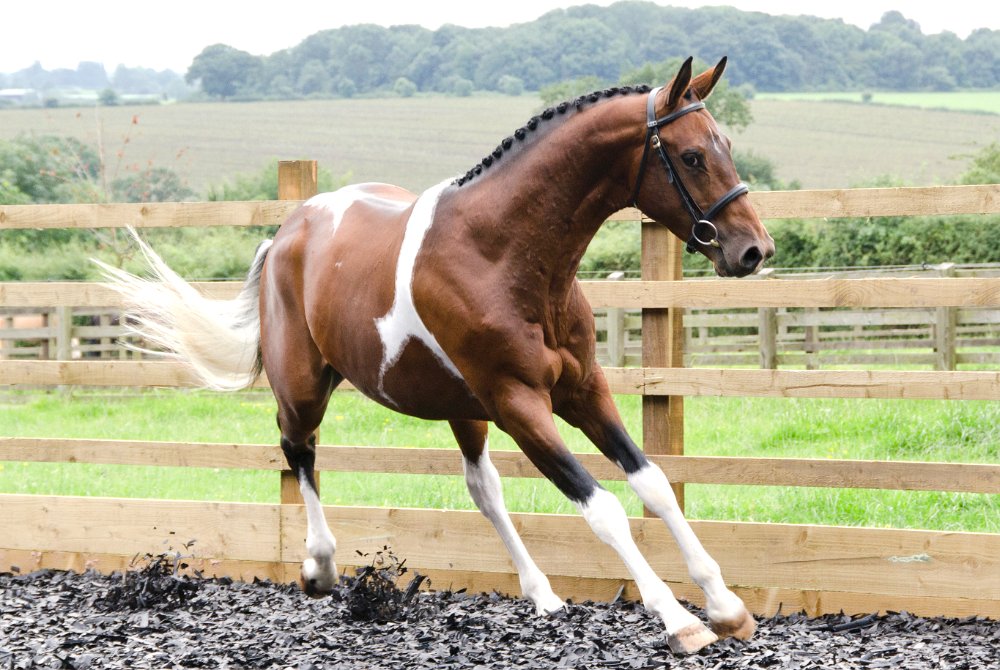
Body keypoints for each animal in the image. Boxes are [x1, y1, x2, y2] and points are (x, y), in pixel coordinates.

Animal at [101, 56, 774, 654]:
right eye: (691, 156)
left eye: (725, 143)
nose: (753, 250)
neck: (500, 253)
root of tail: (288, 230)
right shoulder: (519, 405)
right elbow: (603, 507)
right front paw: (679, 622)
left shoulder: (583, 391)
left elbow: (653, 484)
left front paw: (726, 607)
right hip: (305, 386)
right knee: (299, 450)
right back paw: (319, 568)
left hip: (460, 406)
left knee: (482, 486)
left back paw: (543, 595)